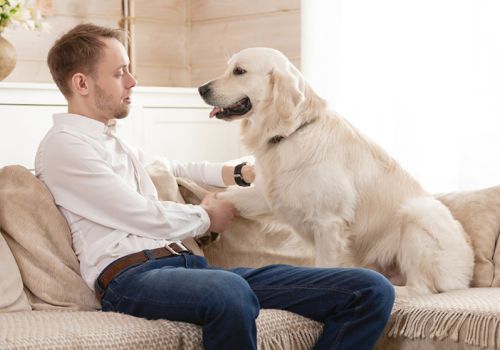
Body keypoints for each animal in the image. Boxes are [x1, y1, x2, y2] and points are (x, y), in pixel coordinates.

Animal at [197, 45, 474, 292]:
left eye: (239, 71)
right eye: (229, 68)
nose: (201, 88)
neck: (291, 132)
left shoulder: (328, 223)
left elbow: (325, 266)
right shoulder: (269, 196)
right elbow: (228, 196)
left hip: (418, 212)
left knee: (421, 287)